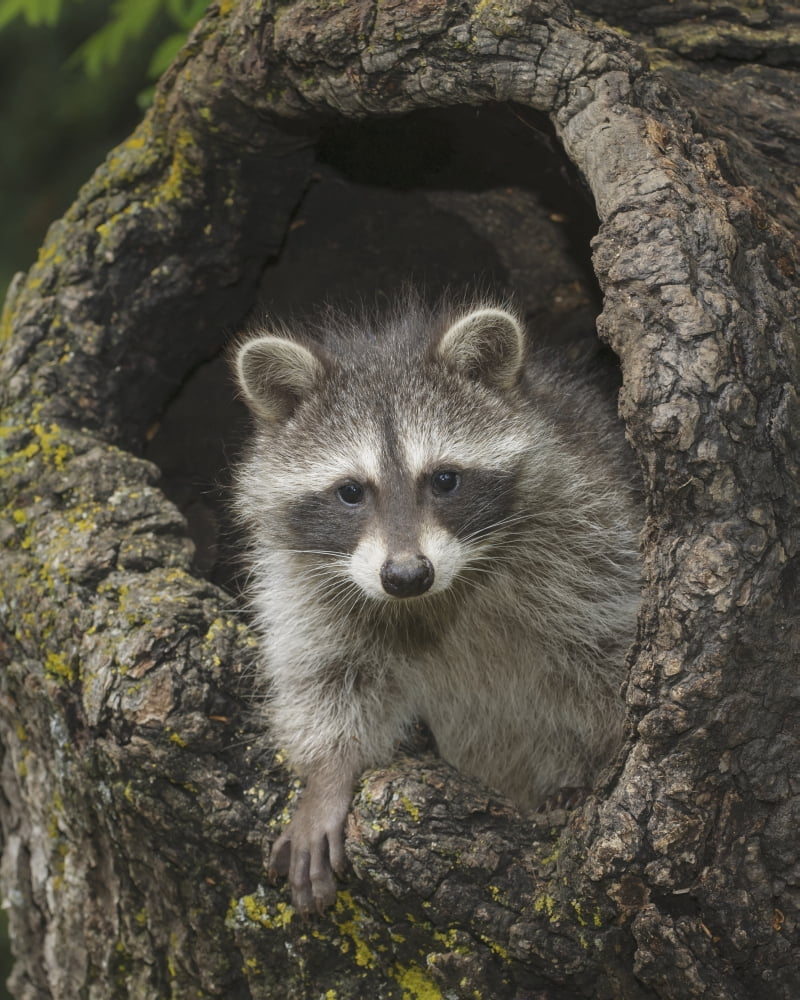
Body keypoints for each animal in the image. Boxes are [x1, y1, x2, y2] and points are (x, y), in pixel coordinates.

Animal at [232, 296, 641, 915]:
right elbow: (325, 672)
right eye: (351, 492)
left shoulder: (590, 530)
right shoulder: (305, 582)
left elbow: (610, 646)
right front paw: (328, 774)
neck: (438, 598)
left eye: (445, 480)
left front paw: (604, 763)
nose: (406, 576)